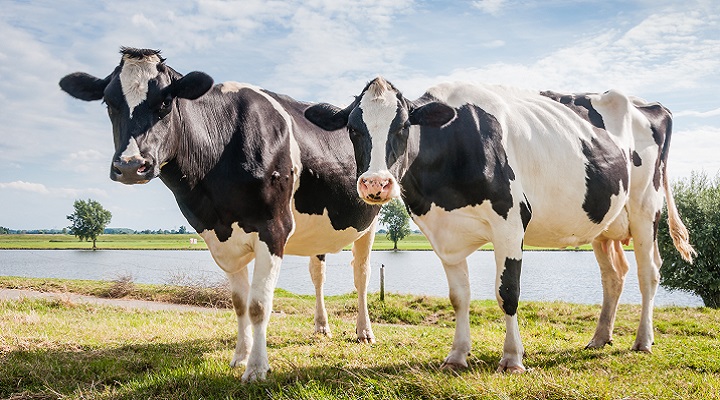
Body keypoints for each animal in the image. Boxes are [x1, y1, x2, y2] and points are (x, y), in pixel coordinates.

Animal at [58, 47, 381, 382]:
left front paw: (256, 369)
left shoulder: (273, 228)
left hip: (370, 221)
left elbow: (259, 305)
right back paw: (320, 326)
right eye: (109, 103)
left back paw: (364, 332)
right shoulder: (221, 236)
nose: (132, 165)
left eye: (165, 102)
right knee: (317, 275)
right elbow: (239, 304)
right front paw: (240, 357)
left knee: (362, 275)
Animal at [304, 77, 696, 373]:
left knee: (649, 273)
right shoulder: (443, 234)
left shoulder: (510, 223)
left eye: (403, 126)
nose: (376, 183)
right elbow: (459, 297)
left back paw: (643, 340)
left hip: (645, 208)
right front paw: (457, 355)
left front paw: (512, 359)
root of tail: (649, 104)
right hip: (604, 223)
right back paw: (600, 338)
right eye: (353, 129)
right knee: (614, 276)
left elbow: (508, 292)